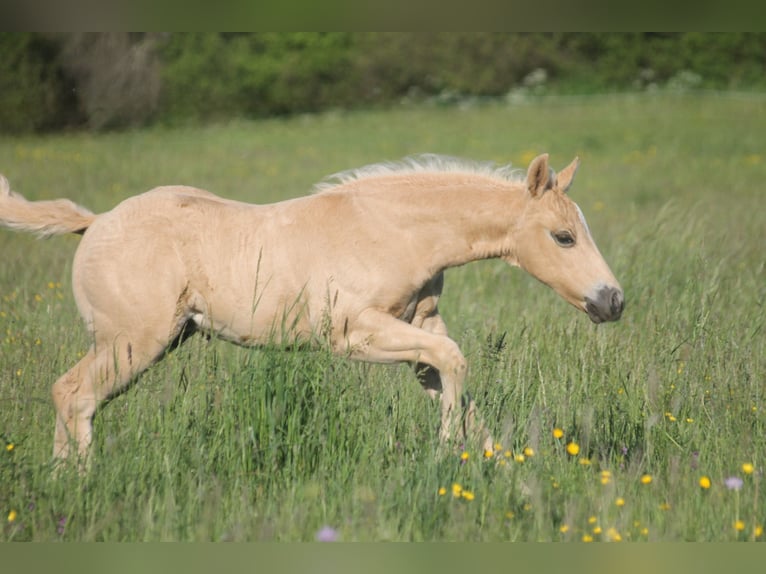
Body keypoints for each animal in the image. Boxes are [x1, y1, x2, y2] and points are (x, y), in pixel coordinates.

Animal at [0, 153, 624, 470]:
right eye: (564, 237)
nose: (612, 301)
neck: (396, 230)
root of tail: (94, 222)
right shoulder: (353, 333)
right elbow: (455, 361)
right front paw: (450, 454)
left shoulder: (418, 329)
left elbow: (456, 379)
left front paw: (499, 470)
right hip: (132, 341)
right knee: (73, 394)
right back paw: (78, 486)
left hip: (151, 341)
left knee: (72, 396)